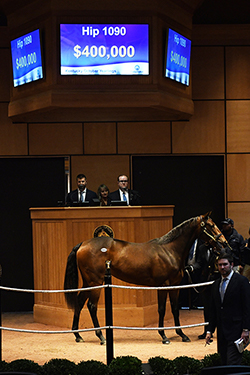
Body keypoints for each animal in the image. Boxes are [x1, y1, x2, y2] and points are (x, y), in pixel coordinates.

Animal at [63, 213, 228, 346]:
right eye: (211, 225)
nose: (224, 243)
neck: (169, 250)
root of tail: (82, 244)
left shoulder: (175, 286)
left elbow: (175, 309)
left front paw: (182, 334)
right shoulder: (163, 286)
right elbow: (162, 309)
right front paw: (164, 336)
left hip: (88, 283)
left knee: (79, 303)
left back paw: (78, 335)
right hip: (96, 283)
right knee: (92, 306)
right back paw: (101, 337)